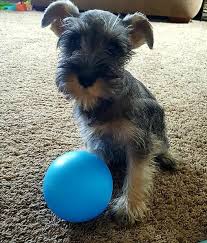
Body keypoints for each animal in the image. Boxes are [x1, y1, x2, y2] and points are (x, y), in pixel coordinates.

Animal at [41, 0, 176, 224]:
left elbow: (137, 172)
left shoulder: (139, 141)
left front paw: (129, 207)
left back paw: (167, 158)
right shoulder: (96, 139)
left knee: (161, 146)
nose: (86, 78)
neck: (106, 102)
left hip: (159, 129)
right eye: (73, 40)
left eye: (113, 48)